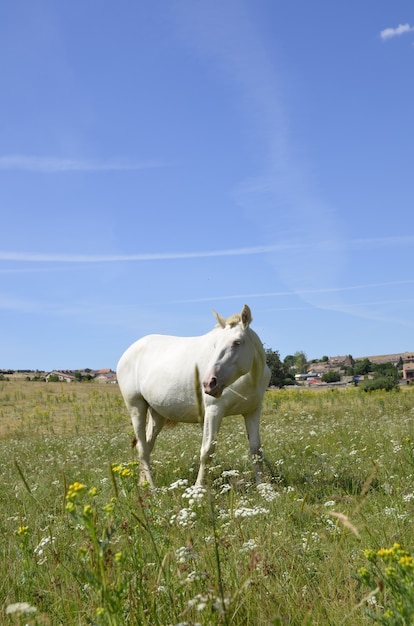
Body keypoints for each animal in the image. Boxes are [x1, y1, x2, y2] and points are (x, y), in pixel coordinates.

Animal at [116, 304, 272, 486]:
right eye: (215, 345)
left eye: (237, 342)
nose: (209, 383)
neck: (250, 378)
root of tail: (129, 352)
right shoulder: (214, 410)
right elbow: (207, 451)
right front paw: (198, 488)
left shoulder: (252, 411)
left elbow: (256, 449)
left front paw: (263, 487)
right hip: (136, 407)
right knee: (142, 448)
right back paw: (153, 488)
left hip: (157, 414)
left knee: (148, 446)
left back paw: (144, 484)